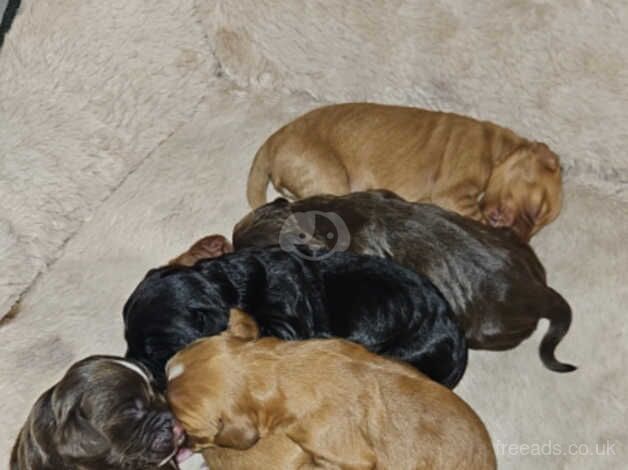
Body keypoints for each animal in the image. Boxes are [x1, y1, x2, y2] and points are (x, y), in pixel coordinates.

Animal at [244, 103, 560, 242]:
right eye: (536, 211)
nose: (521, 241)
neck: (498, 150)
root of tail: (271, 142)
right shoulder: (454, 195)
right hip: (329, 179)